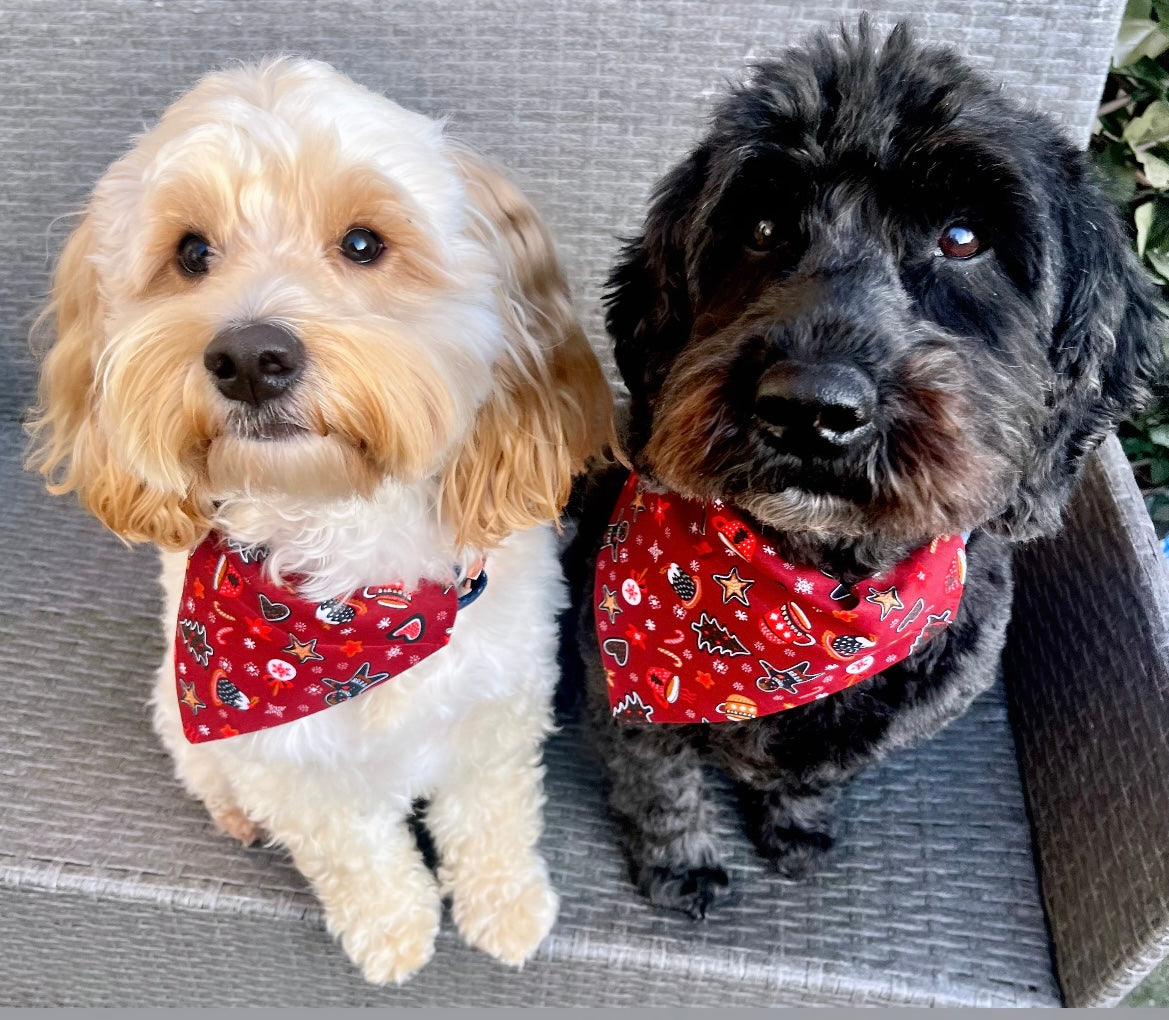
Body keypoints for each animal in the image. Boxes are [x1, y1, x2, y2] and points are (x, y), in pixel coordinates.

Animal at [27, 59, 612, 981]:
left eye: (364, 243)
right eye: (190, 252)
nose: (248, 358)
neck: (351, 596)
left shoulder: (497, 710)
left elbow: (491, 818)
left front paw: (506, 906)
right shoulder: (291, 765)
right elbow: (357, 855)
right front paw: (394, 931)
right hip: (179, 710)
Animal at [577, 21, 1169, 916]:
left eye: (963, 239)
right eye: (760, 228)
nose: (808, 406)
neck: (810, 598)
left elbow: (809, 781)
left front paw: (794, 827)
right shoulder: (618, 692)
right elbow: (659, 782)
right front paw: (680, 861)